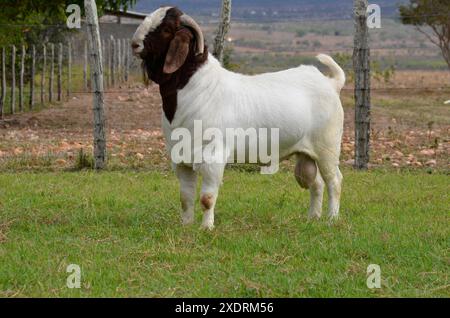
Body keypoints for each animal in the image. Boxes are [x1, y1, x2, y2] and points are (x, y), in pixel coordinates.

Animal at [132, 6, 346, 230]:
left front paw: (206, 228)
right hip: (306, 154)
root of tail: (331, 83)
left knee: (334, 181)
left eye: (166, 29)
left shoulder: (213, 157)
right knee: (316, 183)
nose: (134, 44)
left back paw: (332, 218)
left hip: (327, 148)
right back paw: (313, 217)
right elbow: (185, 198)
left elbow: (207, 198)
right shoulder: (181, 159)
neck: (196, 87)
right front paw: (186, 226)